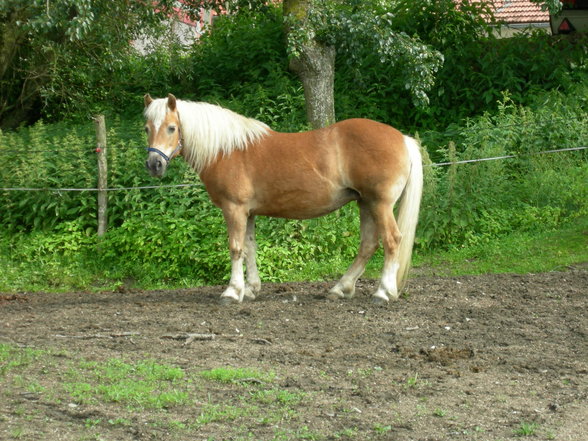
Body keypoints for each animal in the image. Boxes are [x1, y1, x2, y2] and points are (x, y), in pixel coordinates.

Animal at [144, 93, 422, 304]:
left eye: (171, 128)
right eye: (147, 128)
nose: (154, 164)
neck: (227, 150)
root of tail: (403, 138)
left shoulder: (234, 209)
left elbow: (235, 248)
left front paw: (232, 292)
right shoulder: (249, 213)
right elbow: (249, 248)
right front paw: (251, 289)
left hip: (380, 204)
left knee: (392, 241)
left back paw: (383, 293)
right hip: (366, 203)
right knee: (368, 245)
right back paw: (340, 288)